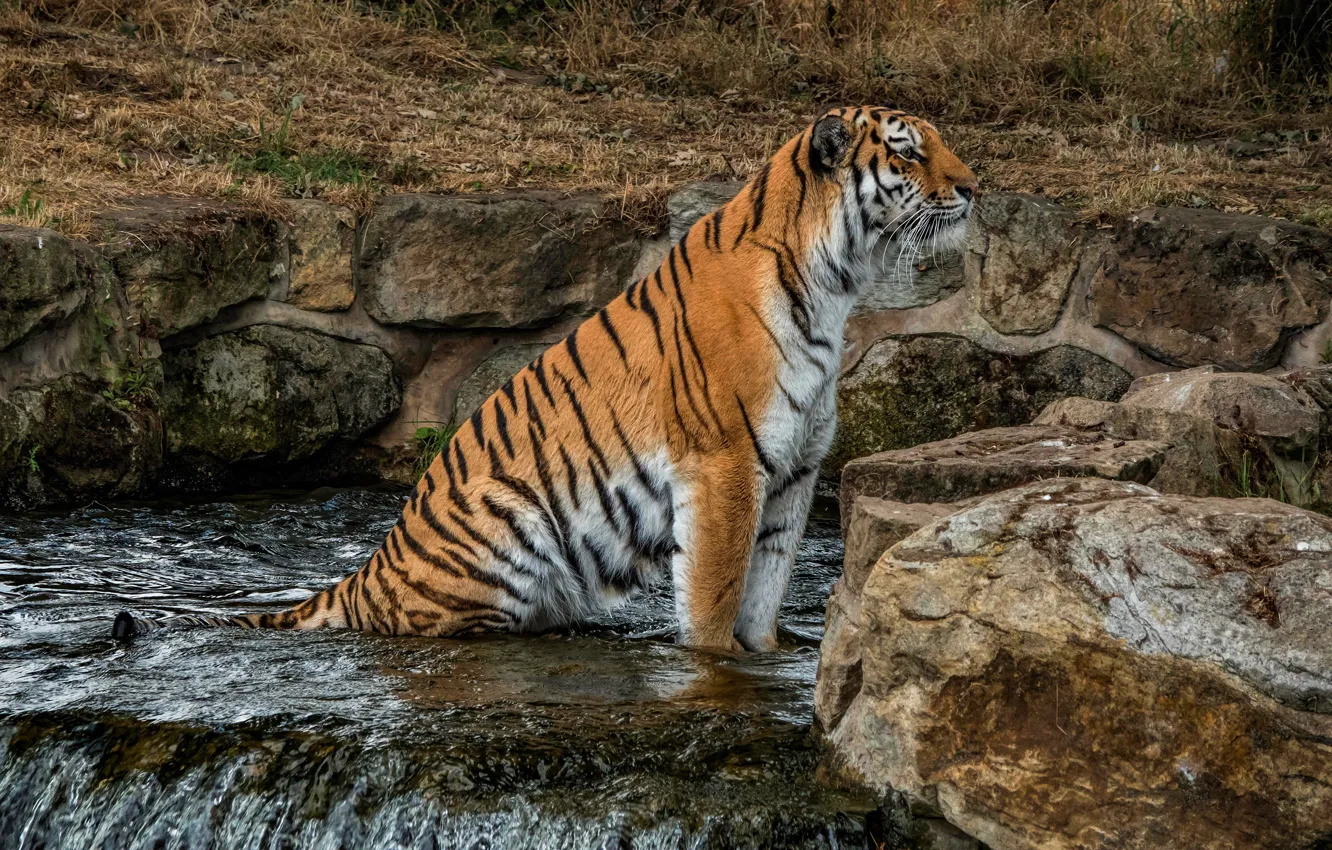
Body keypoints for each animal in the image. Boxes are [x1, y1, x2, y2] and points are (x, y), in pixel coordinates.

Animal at [114, 106, 975, 652]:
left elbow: (764, 592)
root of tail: (371, 568)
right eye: (907, 151)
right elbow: (714, 598)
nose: (972, 188)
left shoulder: (794, 474)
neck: (837, 283)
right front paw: (715, 668)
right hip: (505, 536)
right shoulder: (726, 464)